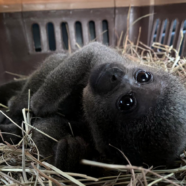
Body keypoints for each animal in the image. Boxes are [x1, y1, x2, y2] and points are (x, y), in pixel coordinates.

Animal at [0, 42, 186, 171]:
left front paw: (70, 157)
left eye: (126, 102)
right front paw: (39, 101)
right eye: (143, 76)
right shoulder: (106, 59)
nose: (114, 74)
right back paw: (16, 105)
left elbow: (47, 128)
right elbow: (90, 51)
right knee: (55, 63)